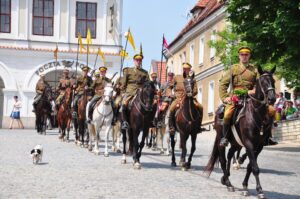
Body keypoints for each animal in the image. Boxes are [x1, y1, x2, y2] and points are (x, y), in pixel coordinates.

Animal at [204, 66, 276, 198]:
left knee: (230, 155)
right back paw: (228, 183)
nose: (272, 98)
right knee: (223, 160)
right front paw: (259, 190)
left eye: (273, 81)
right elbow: (255, 167)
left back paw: (225, 178)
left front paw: (245, 186)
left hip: (236, 143)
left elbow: (250, 166)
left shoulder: (259, 146)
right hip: (221, 140)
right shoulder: (249, 144)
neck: (256, 115)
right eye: (263, 82)